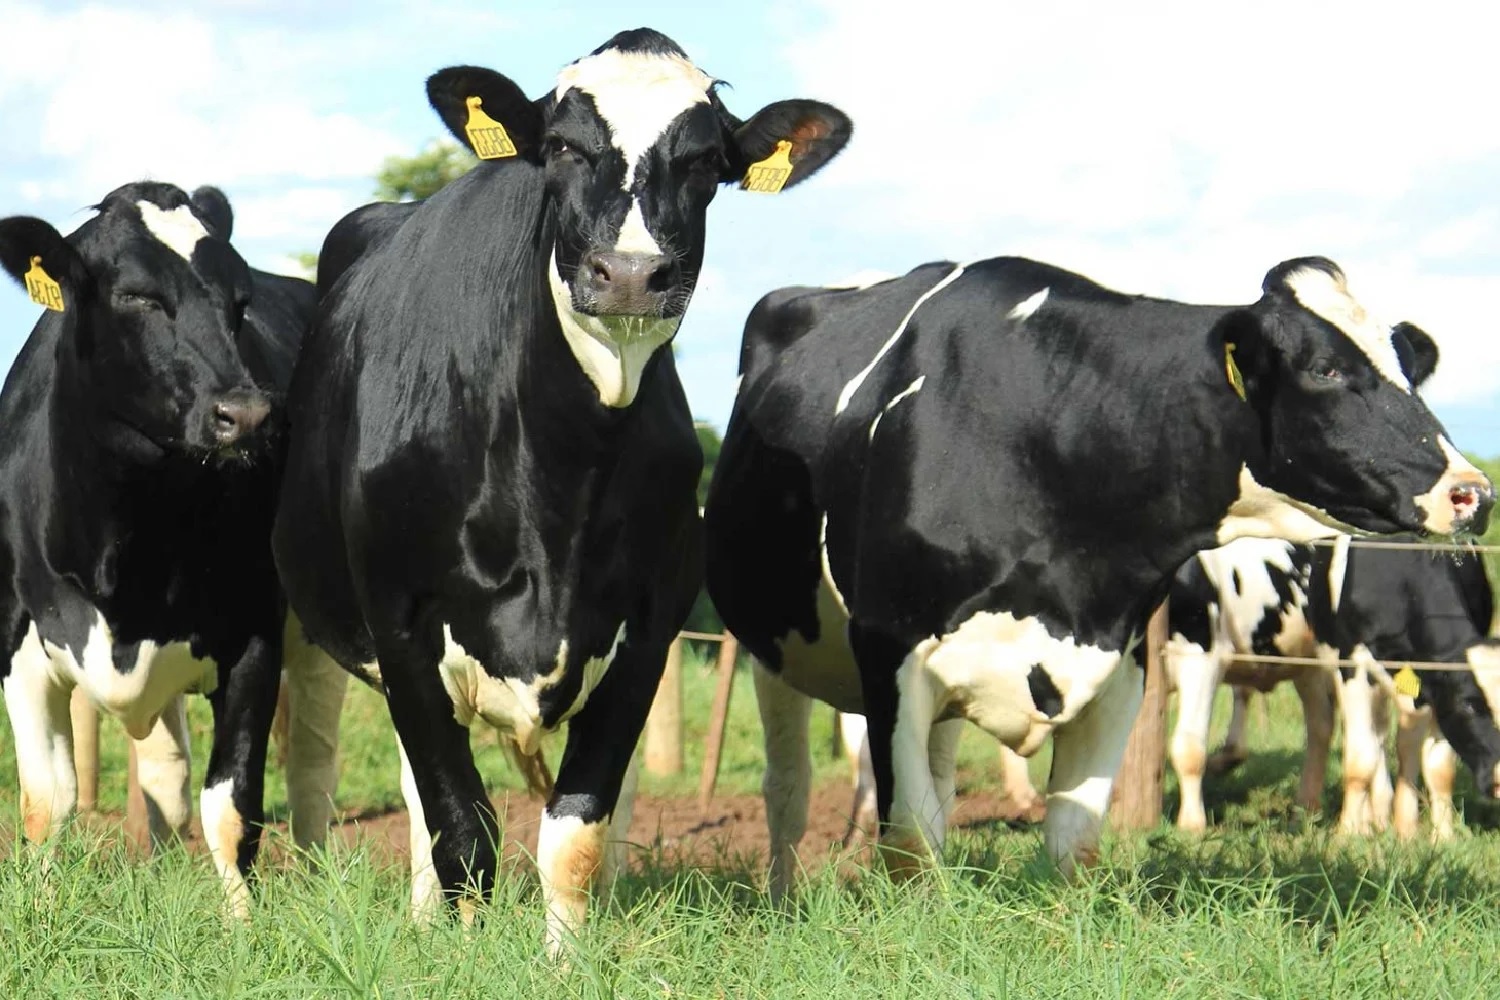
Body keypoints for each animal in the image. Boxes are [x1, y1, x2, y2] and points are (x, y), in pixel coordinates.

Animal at [0, 182, 335, 913]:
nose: (249, 416)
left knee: (312, 763)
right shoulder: (17, 643)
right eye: (138, 296)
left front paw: (242, 926)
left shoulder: (253, 641)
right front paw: (40, 910)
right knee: (165, 774)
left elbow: (231, 807)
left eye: (240, 300)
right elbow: (46, 802)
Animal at [270, 28, 851, 951]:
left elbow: (576, 832)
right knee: (421, 796)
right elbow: (462, 829)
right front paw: (460, 952)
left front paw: (565, 959)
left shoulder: (648, 627)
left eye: (705, 161)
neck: (560, 470)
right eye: (565, 148)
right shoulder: (399, 622)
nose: (632, 272)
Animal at [704, 255, 1492, 898]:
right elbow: (913, 839)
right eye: (1326, 369)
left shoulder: (1121, 663)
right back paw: (784, 897)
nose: (1472, 491)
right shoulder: (892, 651)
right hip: (776, 644)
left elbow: (1072, 843)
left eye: (1407, 368)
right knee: (789, 787)